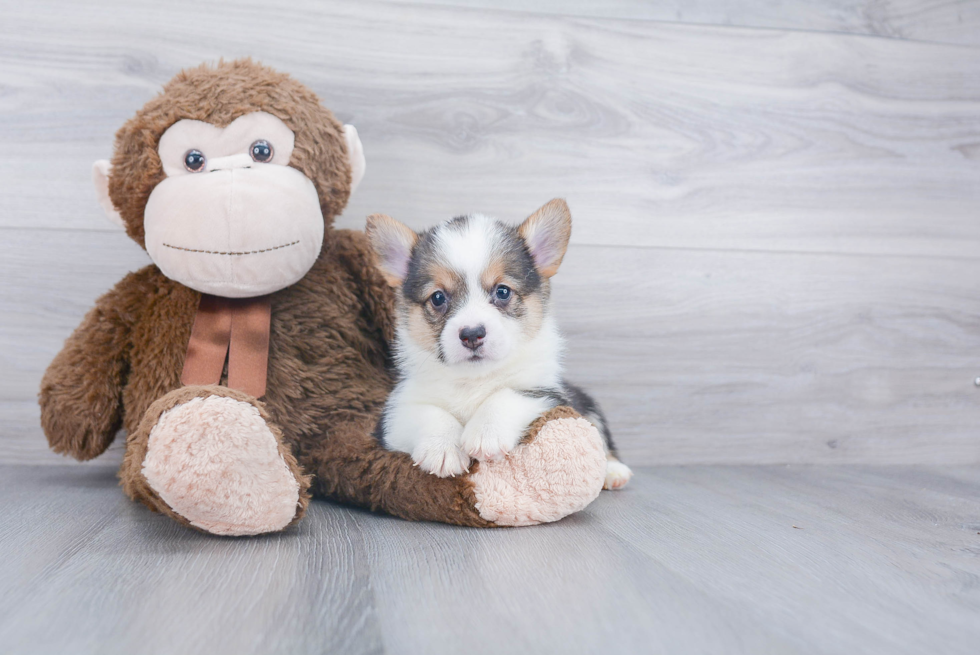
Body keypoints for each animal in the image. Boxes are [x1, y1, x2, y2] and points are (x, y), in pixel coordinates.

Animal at [364, 200, 632, 492]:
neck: (473, 380)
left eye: (503, 291)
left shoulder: (545, 393)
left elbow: (505, 395)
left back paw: (613, 471)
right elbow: (429, 413)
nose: (472, 334)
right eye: (437, 298)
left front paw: (485, 434)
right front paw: (443, 447)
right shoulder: (395, 413)